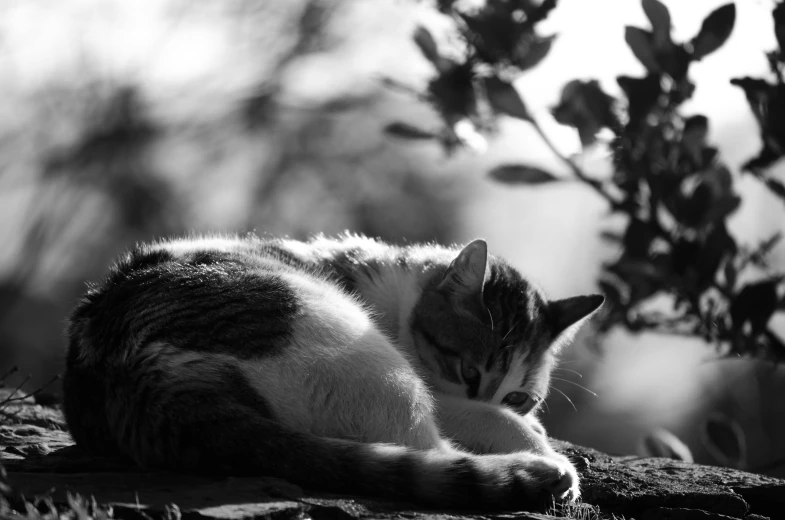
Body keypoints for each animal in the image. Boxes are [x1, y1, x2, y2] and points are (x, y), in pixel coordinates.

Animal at [64, 234, 604, 510]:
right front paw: (539, 444)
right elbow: (480, 417)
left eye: (519, 395)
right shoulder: (441, 391)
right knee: (430, 451)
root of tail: (135, 370)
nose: (504, 401)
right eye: (470, 373)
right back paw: (540, 471)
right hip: (363, 355)